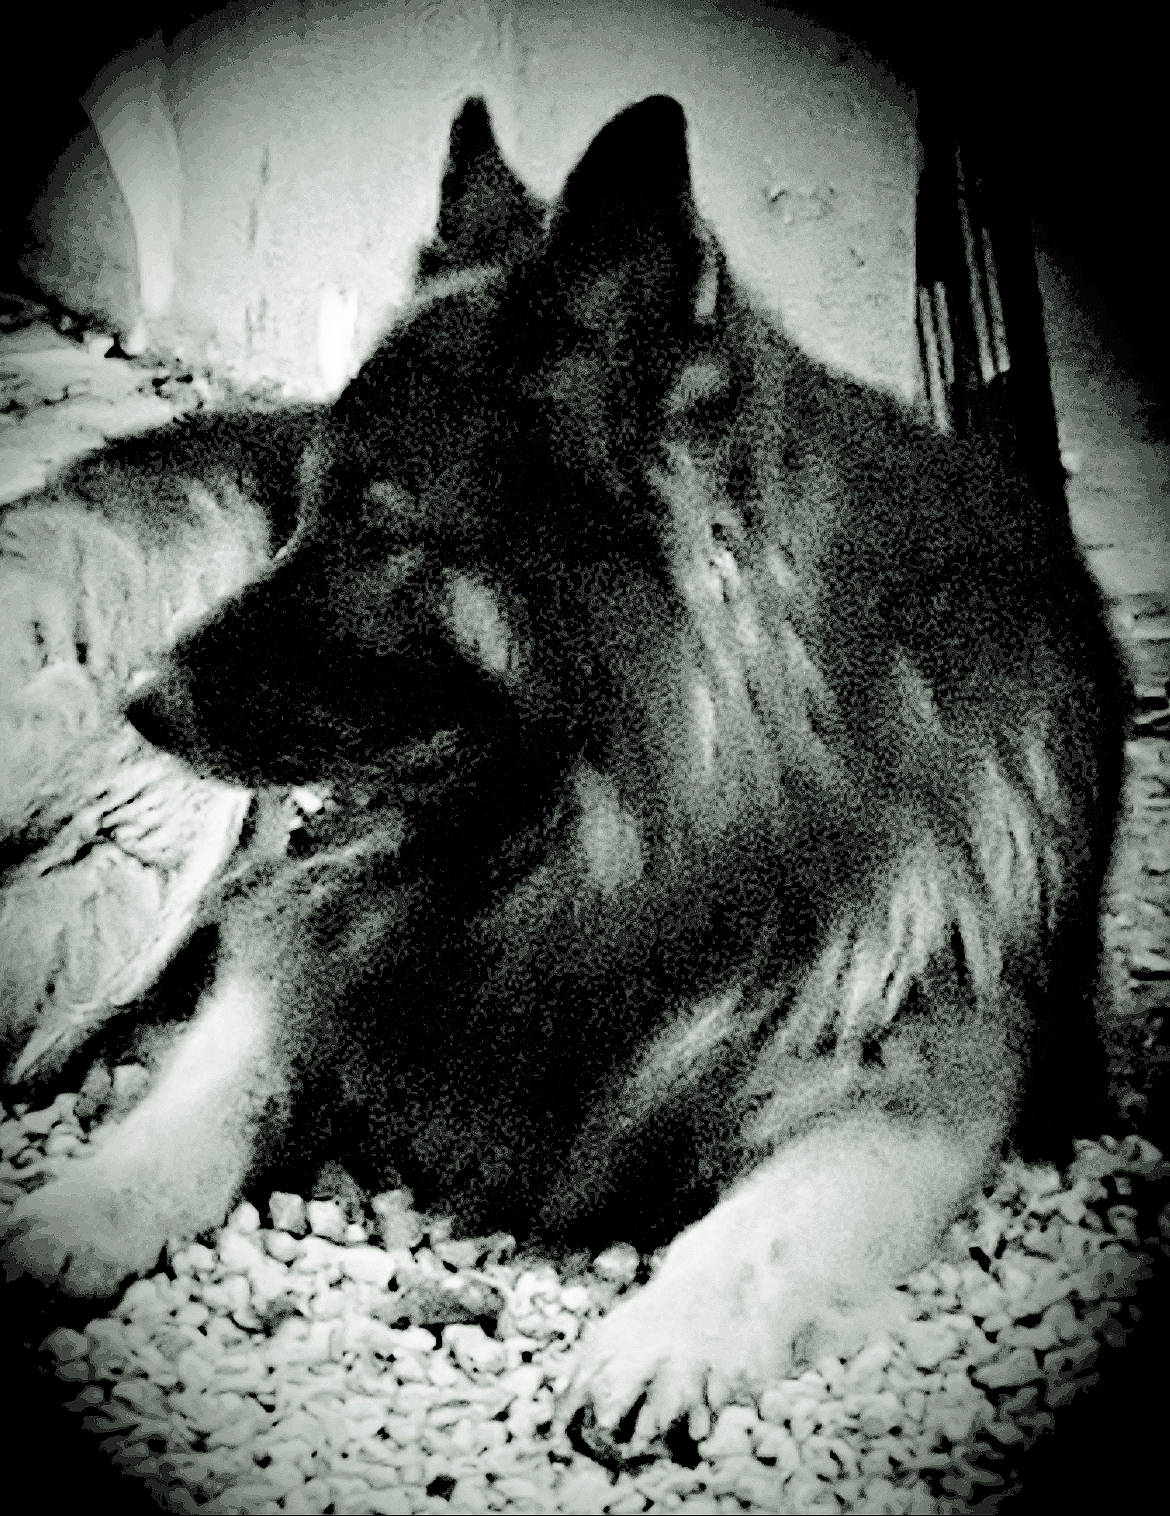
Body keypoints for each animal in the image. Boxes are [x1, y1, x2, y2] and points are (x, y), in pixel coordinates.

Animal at [1, 95, 1125, 1443]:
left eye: (381, 530)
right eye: (304, 513)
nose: (141, 699)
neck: (615, 858)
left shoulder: (918, 1092)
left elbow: (766, 1227)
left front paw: (662, 1335)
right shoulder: (319, 950)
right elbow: (204, 1097)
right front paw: (78, 1209)